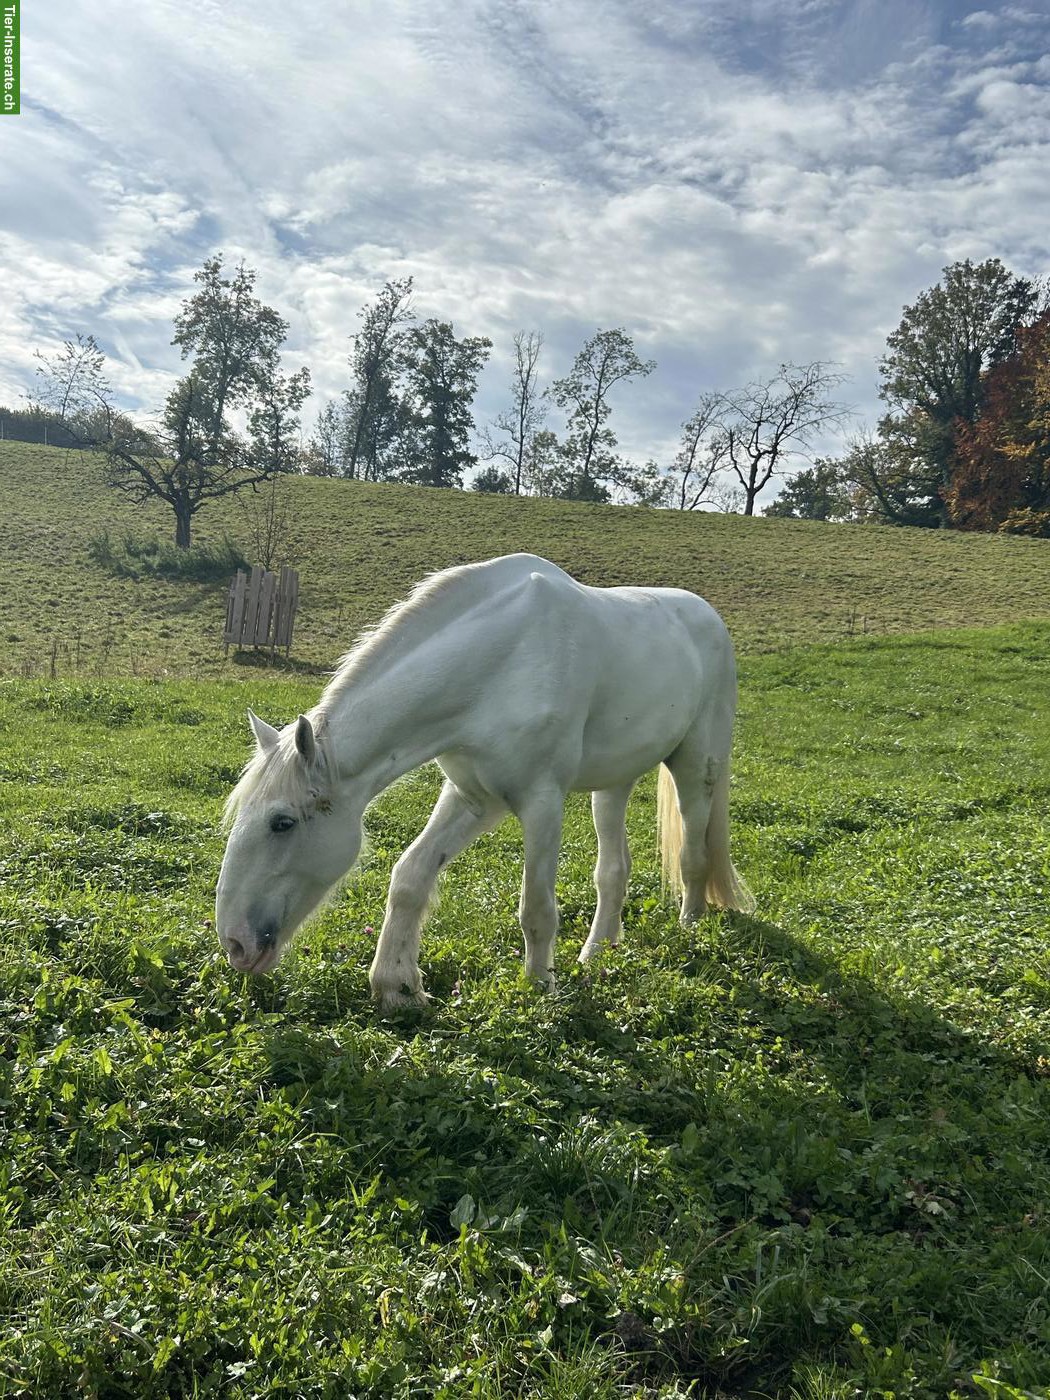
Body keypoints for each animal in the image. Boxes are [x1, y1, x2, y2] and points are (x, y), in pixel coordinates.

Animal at [216, 552, 753, 1010]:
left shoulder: (541, 802)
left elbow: (536, 908)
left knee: (694, 855)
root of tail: (708, 616)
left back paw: (687, 932)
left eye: (282, 823)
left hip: (696, 768)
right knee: (613, 871)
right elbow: (410, 877)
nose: (235, 943)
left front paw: (539, 990)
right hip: (612, 785)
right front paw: (397, 986)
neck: (500, 660)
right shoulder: (473, 798)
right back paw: (596, 954)